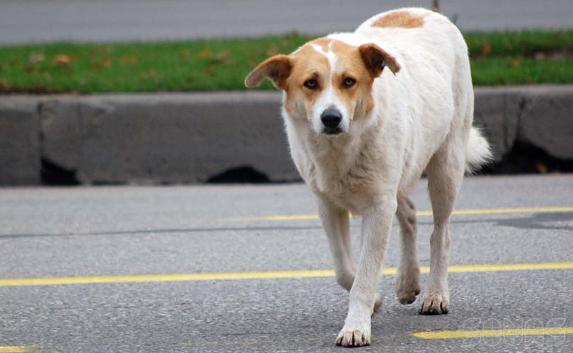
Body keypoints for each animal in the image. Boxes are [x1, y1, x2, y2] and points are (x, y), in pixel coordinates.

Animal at [244, 6, 490, 346]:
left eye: (349, 81)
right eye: (310, 83)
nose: (331, 118)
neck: (339, 150)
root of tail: (424, 10)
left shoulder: (378, 207)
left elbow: (364, 274)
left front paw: (356, 326)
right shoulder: (328, 205)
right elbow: (345, 270)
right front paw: (374, 301)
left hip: (446, 164)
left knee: (441, 233)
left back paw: (436, 294)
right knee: (409, 213)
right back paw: (408, 281)